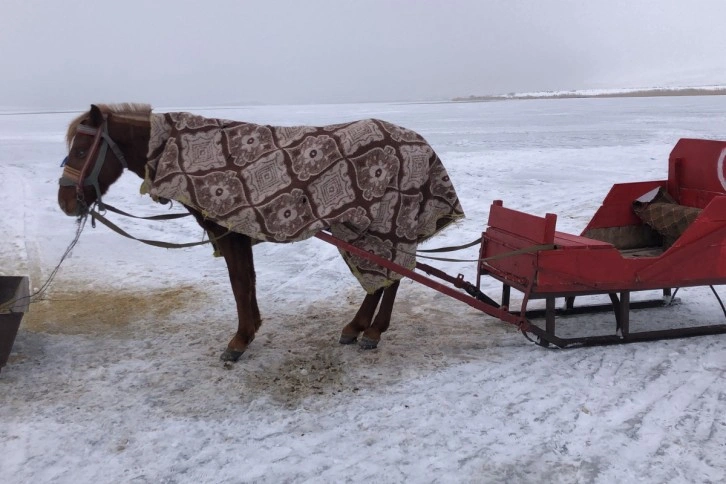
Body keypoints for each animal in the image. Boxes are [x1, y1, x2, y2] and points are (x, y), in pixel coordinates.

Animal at [58, 104, 466, 362]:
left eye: (80, 150)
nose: (65, 201)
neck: (180, 151)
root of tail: (421, 143)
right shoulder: (239, 233)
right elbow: (248, 281)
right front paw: (251, 328)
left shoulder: (231, 232)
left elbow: (240, 283)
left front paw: (240, 339)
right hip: (363, 229)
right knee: (382, 278)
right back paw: (357, 327)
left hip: (388, 223)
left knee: (392, 276)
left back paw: (374, 331)